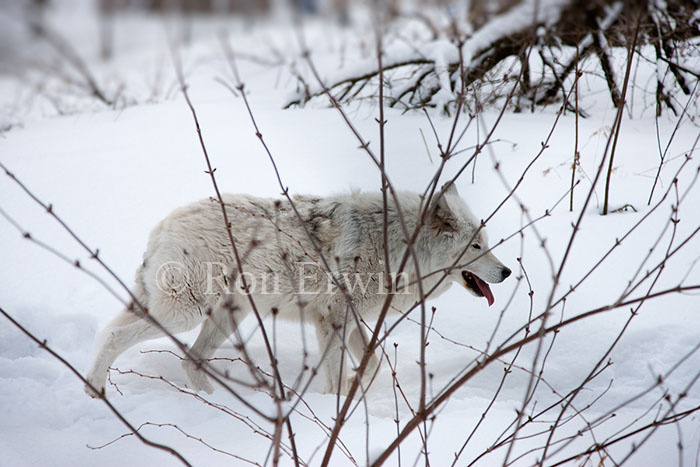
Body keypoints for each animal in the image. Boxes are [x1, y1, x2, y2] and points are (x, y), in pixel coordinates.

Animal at [85, 183, 511, 397]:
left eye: (487, 242)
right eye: (476, 246)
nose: (507, 271)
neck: (394, 245)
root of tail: (161, 227)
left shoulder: (348, 320)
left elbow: (371, 364)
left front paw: (358, 396)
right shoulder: (334, 321)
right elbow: (336, 376)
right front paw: (336, 405)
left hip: (225, 317)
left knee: (189, 360)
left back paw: (216, 403)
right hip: (183, 315)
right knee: (116, 338)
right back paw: (96, 389)